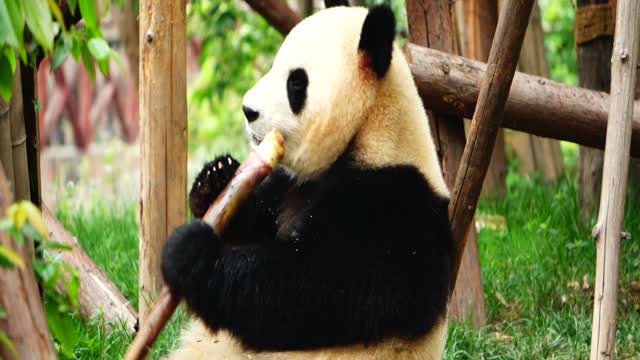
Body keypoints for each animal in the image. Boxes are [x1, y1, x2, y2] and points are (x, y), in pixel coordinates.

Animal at [162, 1, 452, 358]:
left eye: (296, 82)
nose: (247, 110)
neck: (371, 130)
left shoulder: (392, 207)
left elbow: (310, 290)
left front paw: (191, 251)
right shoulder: (291, 183)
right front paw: (215, 179)